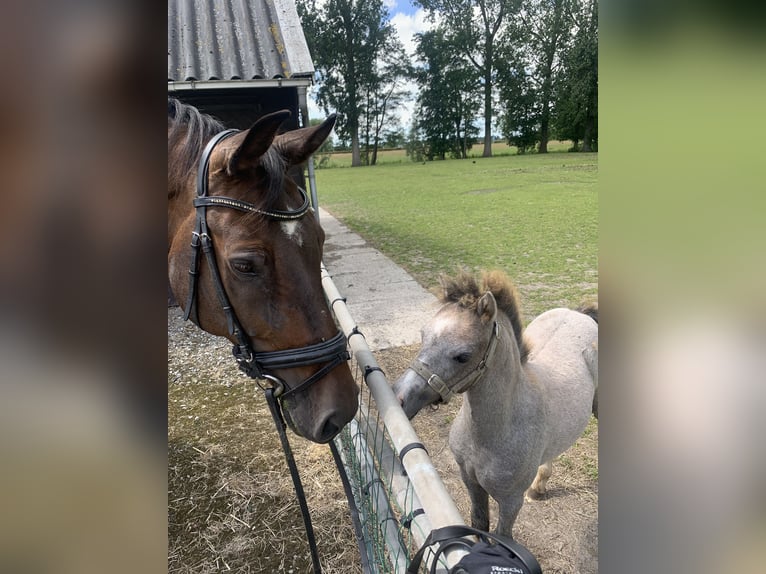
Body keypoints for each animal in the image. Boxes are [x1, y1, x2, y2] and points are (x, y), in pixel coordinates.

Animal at [392, 269, 597, 538]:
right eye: (422, 335)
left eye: (463, 356)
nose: (399, 397)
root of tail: (580, 313)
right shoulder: (471, 482)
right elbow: (479, 524)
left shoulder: (511, 502)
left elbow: (501, 537)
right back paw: (538, 488)